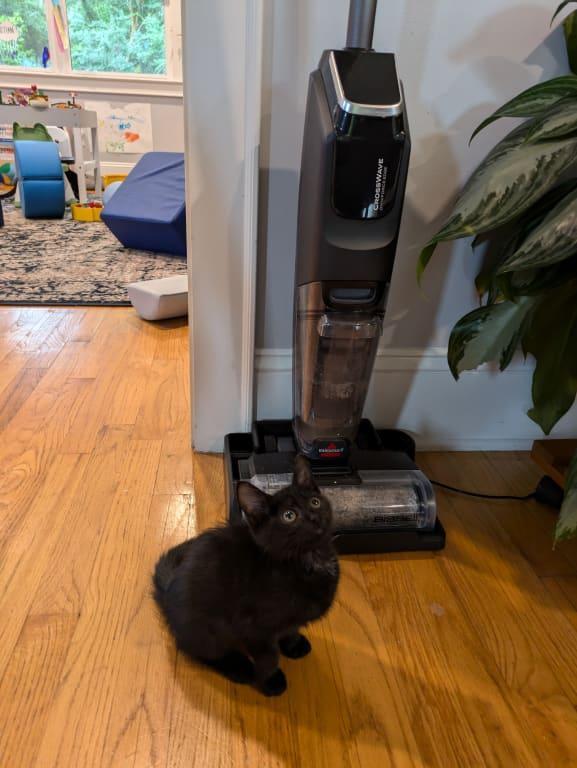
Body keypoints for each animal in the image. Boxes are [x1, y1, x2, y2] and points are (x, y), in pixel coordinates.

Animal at [153, 454, 339, 696]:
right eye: (289, 516)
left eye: (315, 502)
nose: (314, 517)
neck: (309, 560)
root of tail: (167, 593)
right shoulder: (253, 628)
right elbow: (269, 657)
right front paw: (270, 680)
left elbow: (291, 628)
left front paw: (293, 644)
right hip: (208, 630)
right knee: (198, 650)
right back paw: (238, 666)